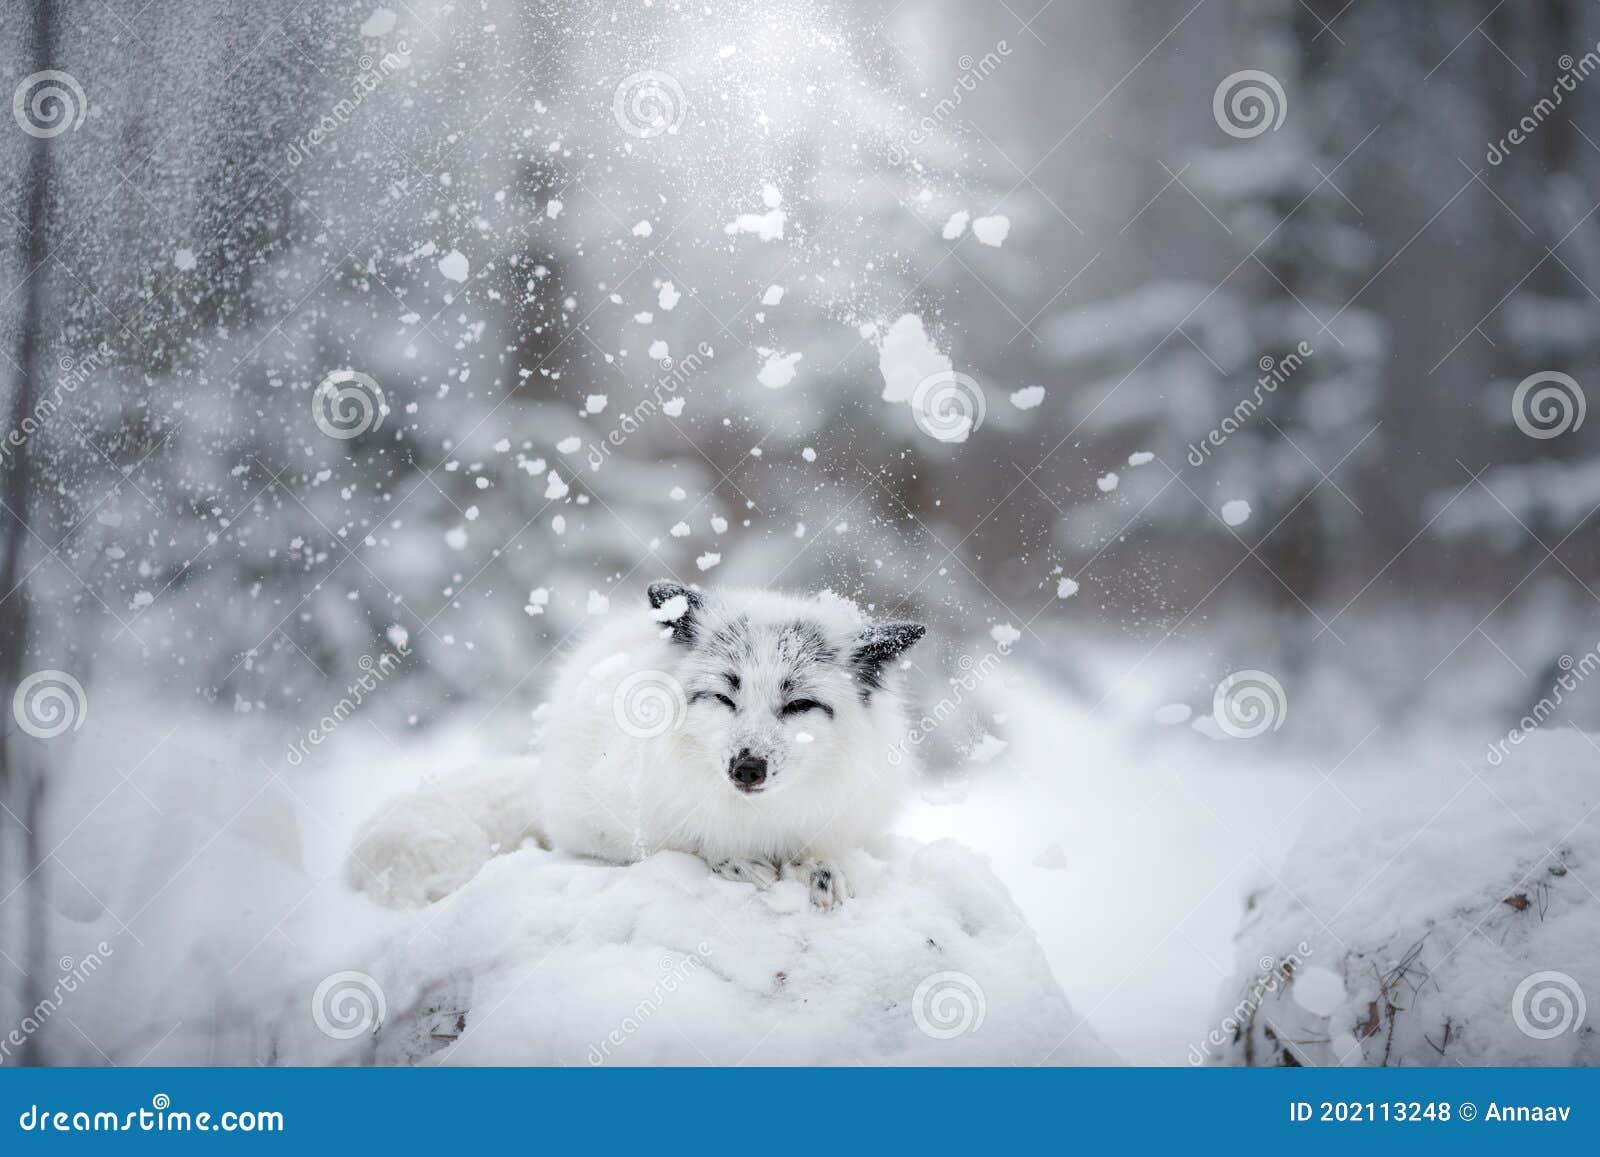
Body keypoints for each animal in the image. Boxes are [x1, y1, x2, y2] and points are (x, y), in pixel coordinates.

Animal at [345, 581, 927, 910]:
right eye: (725, 696)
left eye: (798, 705)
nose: (747, 769)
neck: (757, 821)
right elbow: (698, 848)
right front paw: (739, 864)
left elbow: (825, 852)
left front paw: (824, 874)